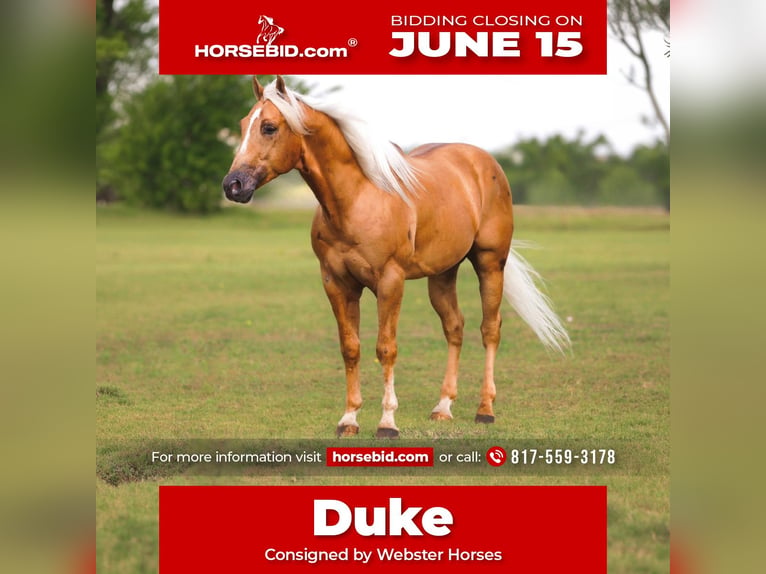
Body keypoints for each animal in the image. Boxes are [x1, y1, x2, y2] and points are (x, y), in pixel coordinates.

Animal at [222, 76, 570, 438]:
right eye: (243, 125)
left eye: (269, 127)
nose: (233, 185)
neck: (358, 197)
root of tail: (485, 163)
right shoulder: (337, 283)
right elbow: (350, 348)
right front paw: (349, 419)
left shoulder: (390, 282)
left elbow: (386, 348)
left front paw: (387, 422)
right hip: (442, 274)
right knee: (454, 327)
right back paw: (443, 407)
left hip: (490, 263)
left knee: (490, 329)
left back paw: (485, 409)